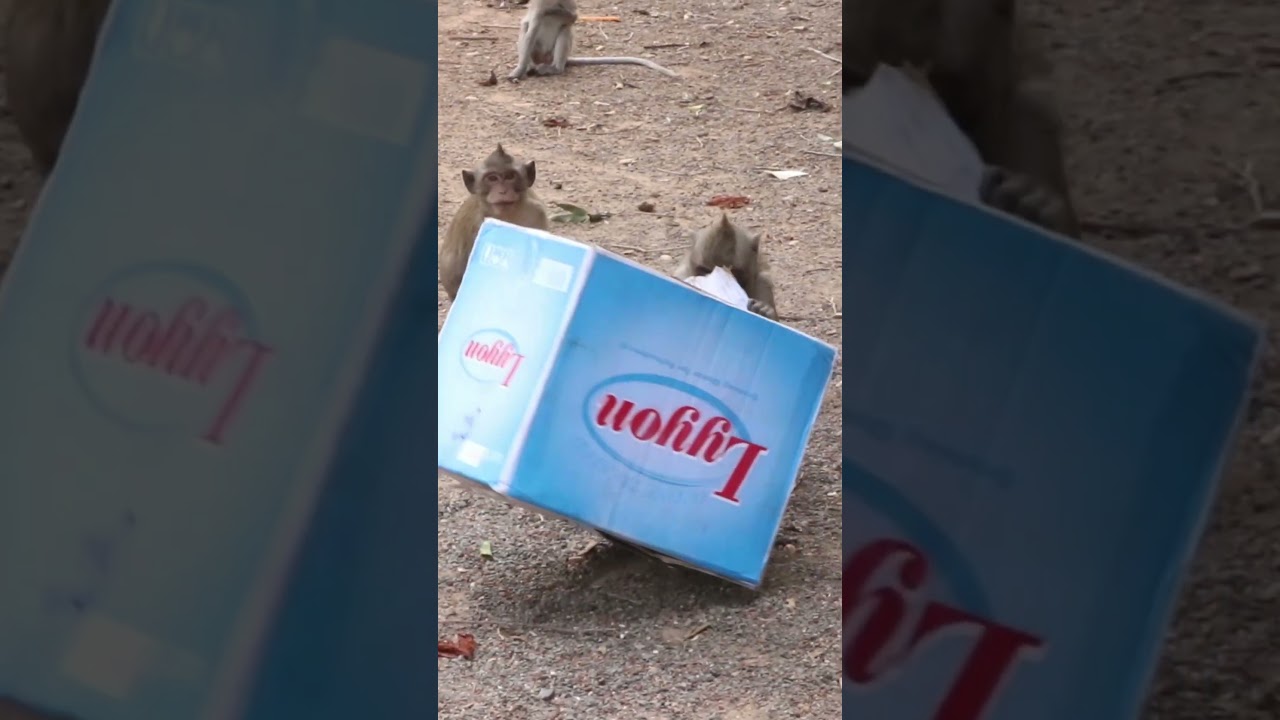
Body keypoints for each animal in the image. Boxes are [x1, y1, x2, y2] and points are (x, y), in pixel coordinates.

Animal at [439, 145, 549, 301]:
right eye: (492, 178)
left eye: (510, 176)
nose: (502, 191)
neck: (508, 216)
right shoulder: (478, 225)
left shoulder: (538, 212)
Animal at [508, 0, 678, 81]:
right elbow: (532, 27)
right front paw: (518, 71)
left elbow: (572, 17)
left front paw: (554, 11)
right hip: (537, 54)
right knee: (525, 27)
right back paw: (529, 66)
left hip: (551, 56)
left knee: (565, 29)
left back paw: (555, 68)